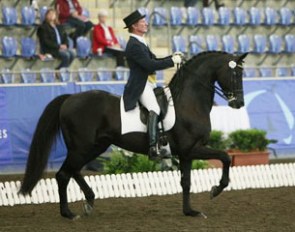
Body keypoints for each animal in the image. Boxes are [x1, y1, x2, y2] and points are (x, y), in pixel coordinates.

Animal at [19, 50, 249, 219]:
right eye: (235, 74)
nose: (238, 103)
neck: (189, 102)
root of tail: (69, 98)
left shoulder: (186, 153)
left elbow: (186, 182)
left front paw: (190, 212)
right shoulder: (192, 149)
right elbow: (225, 157)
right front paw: (216, 189)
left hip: (95, 146)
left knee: (73, 171)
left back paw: (89, 202)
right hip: (82, 147)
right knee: (63, 174)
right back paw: (68, 213)